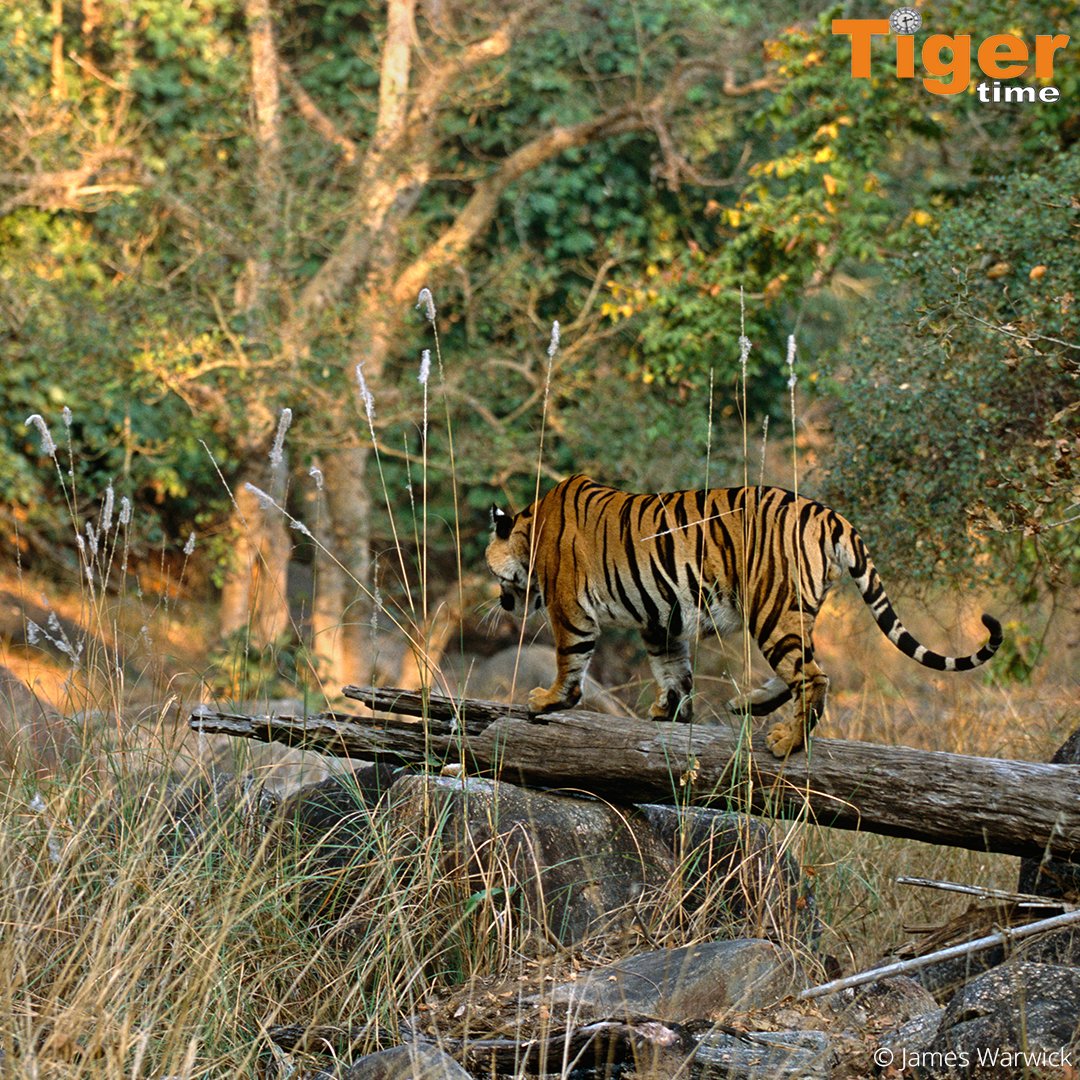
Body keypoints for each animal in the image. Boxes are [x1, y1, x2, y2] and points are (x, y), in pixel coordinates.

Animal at [485, 475, 1002, 757]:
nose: (502, 602)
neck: (532, 529)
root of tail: (828, 513)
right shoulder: (662, 618)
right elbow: (674, 670)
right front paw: (669, 711)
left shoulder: (569, 606)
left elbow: (570, 660)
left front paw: (546, 701)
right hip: (793, 610)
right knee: (805, 667)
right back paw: (749, 705)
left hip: (771, 606)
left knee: (815, 677)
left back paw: (786, 741)